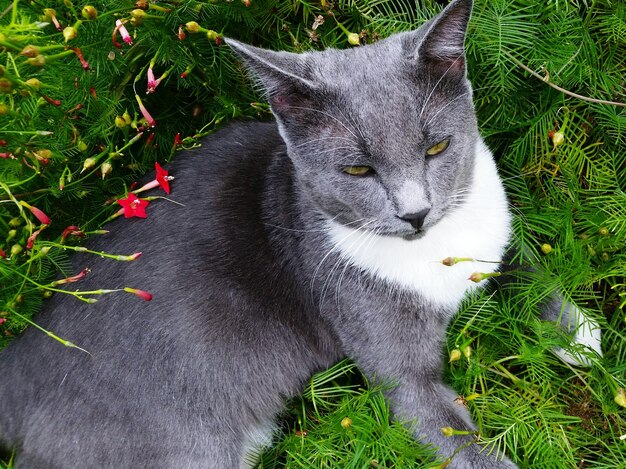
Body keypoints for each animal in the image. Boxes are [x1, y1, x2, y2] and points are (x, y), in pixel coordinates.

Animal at [0, 0, 600, 466]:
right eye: (357, 170)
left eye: (436, 147)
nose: (415, 213)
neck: (435, 255)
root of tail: (17, 364)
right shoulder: (397, 367)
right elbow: (447, 428)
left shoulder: (491, 234)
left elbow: (525, 267)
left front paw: (585, 336)